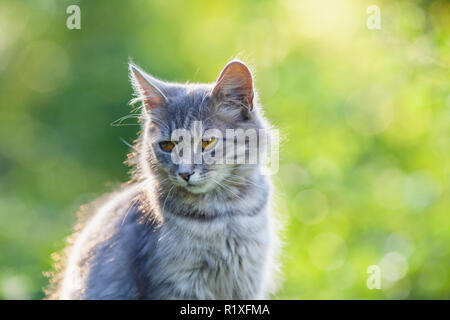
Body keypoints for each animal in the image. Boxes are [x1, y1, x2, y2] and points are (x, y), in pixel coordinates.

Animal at [44, 58, 278, 298]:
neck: (223, 216)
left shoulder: (249, 280)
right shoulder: (174, 283)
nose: (185, 173)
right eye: (167, 145)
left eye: (207, 142)